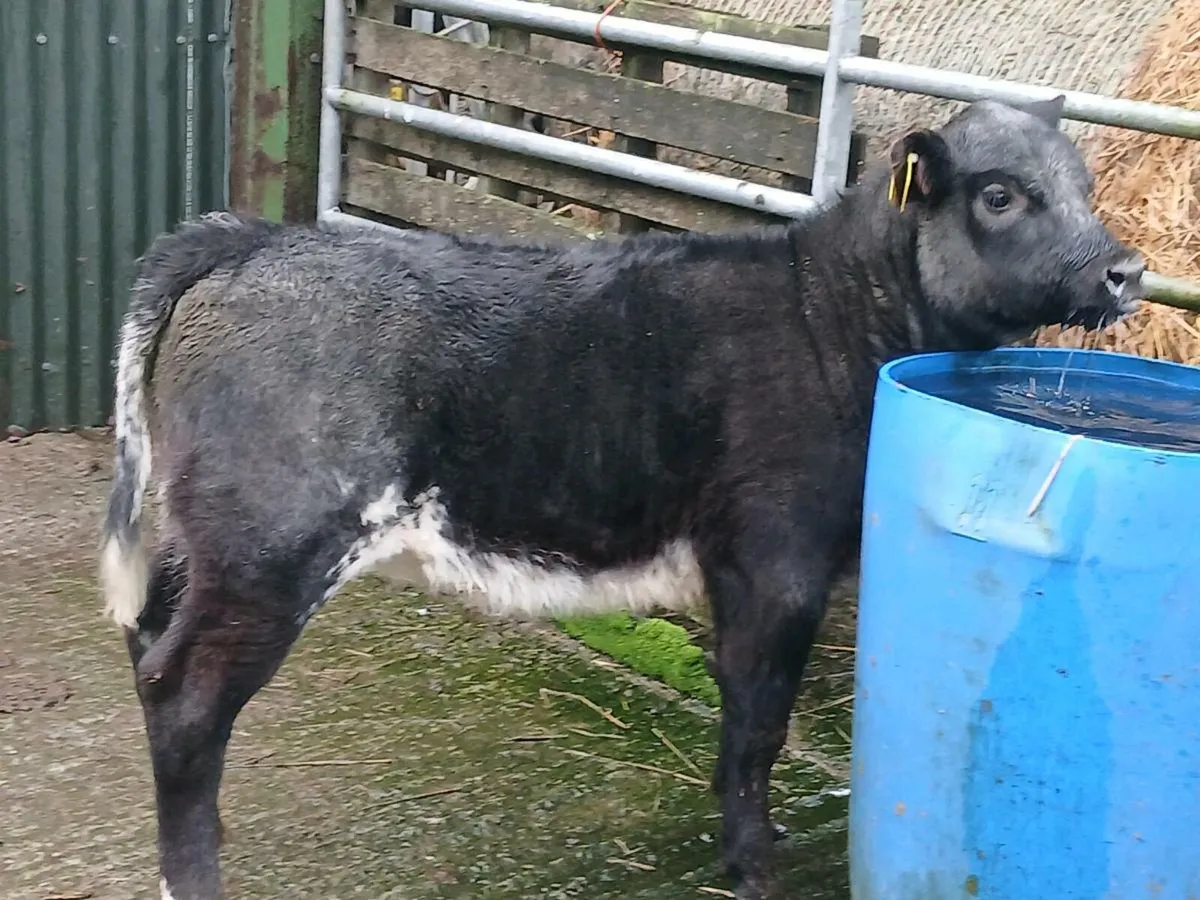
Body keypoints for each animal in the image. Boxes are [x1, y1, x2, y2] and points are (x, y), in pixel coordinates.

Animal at [99, 96, 1144, 900]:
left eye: (1087, 185)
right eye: (1000, 194)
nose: (1126, 269)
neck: (834, 312)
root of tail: (253, 240)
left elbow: (742, 713)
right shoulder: (777, 557)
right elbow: (760, 720)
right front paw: (753, 866)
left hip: (204, 541)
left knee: (147, 642)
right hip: (271, 544)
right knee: (184, 694)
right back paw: (194, 875)